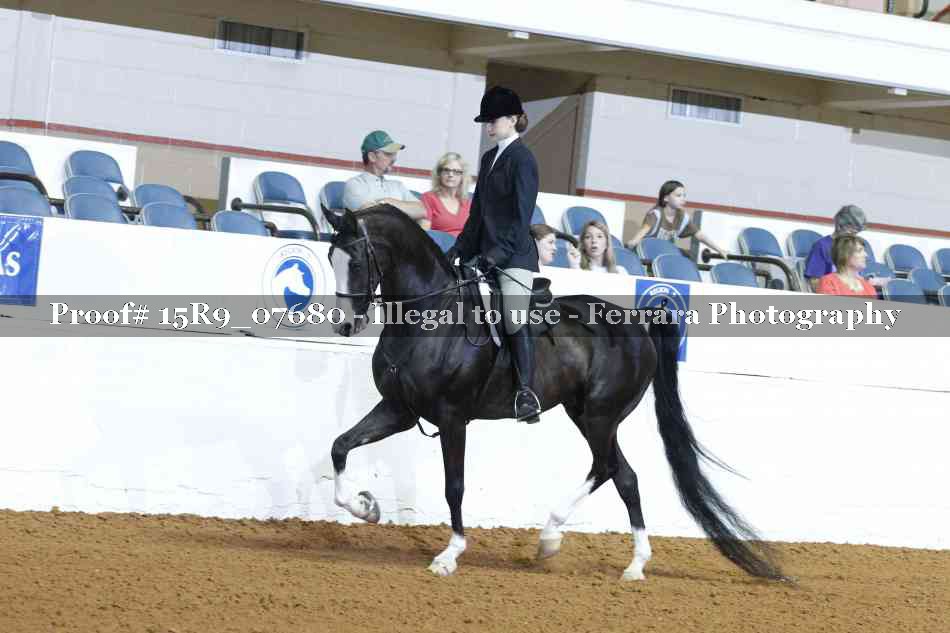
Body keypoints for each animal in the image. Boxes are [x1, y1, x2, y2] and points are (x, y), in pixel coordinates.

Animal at [325, 205, 783, 581]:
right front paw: (365, 506)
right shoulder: (399, 409)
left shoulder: (453, 418)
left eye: (356, 260)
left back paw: (558, 537)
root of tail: (637, 320)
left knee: (608, 468)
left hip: (599, 416)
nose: (346, 325)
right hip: (586, 414)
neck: (430, 317)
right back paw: (627, 562)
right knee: (623, 475)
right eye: (332, 258)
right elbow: (340, 445)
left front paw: (449, 555)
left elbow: (454, 485)